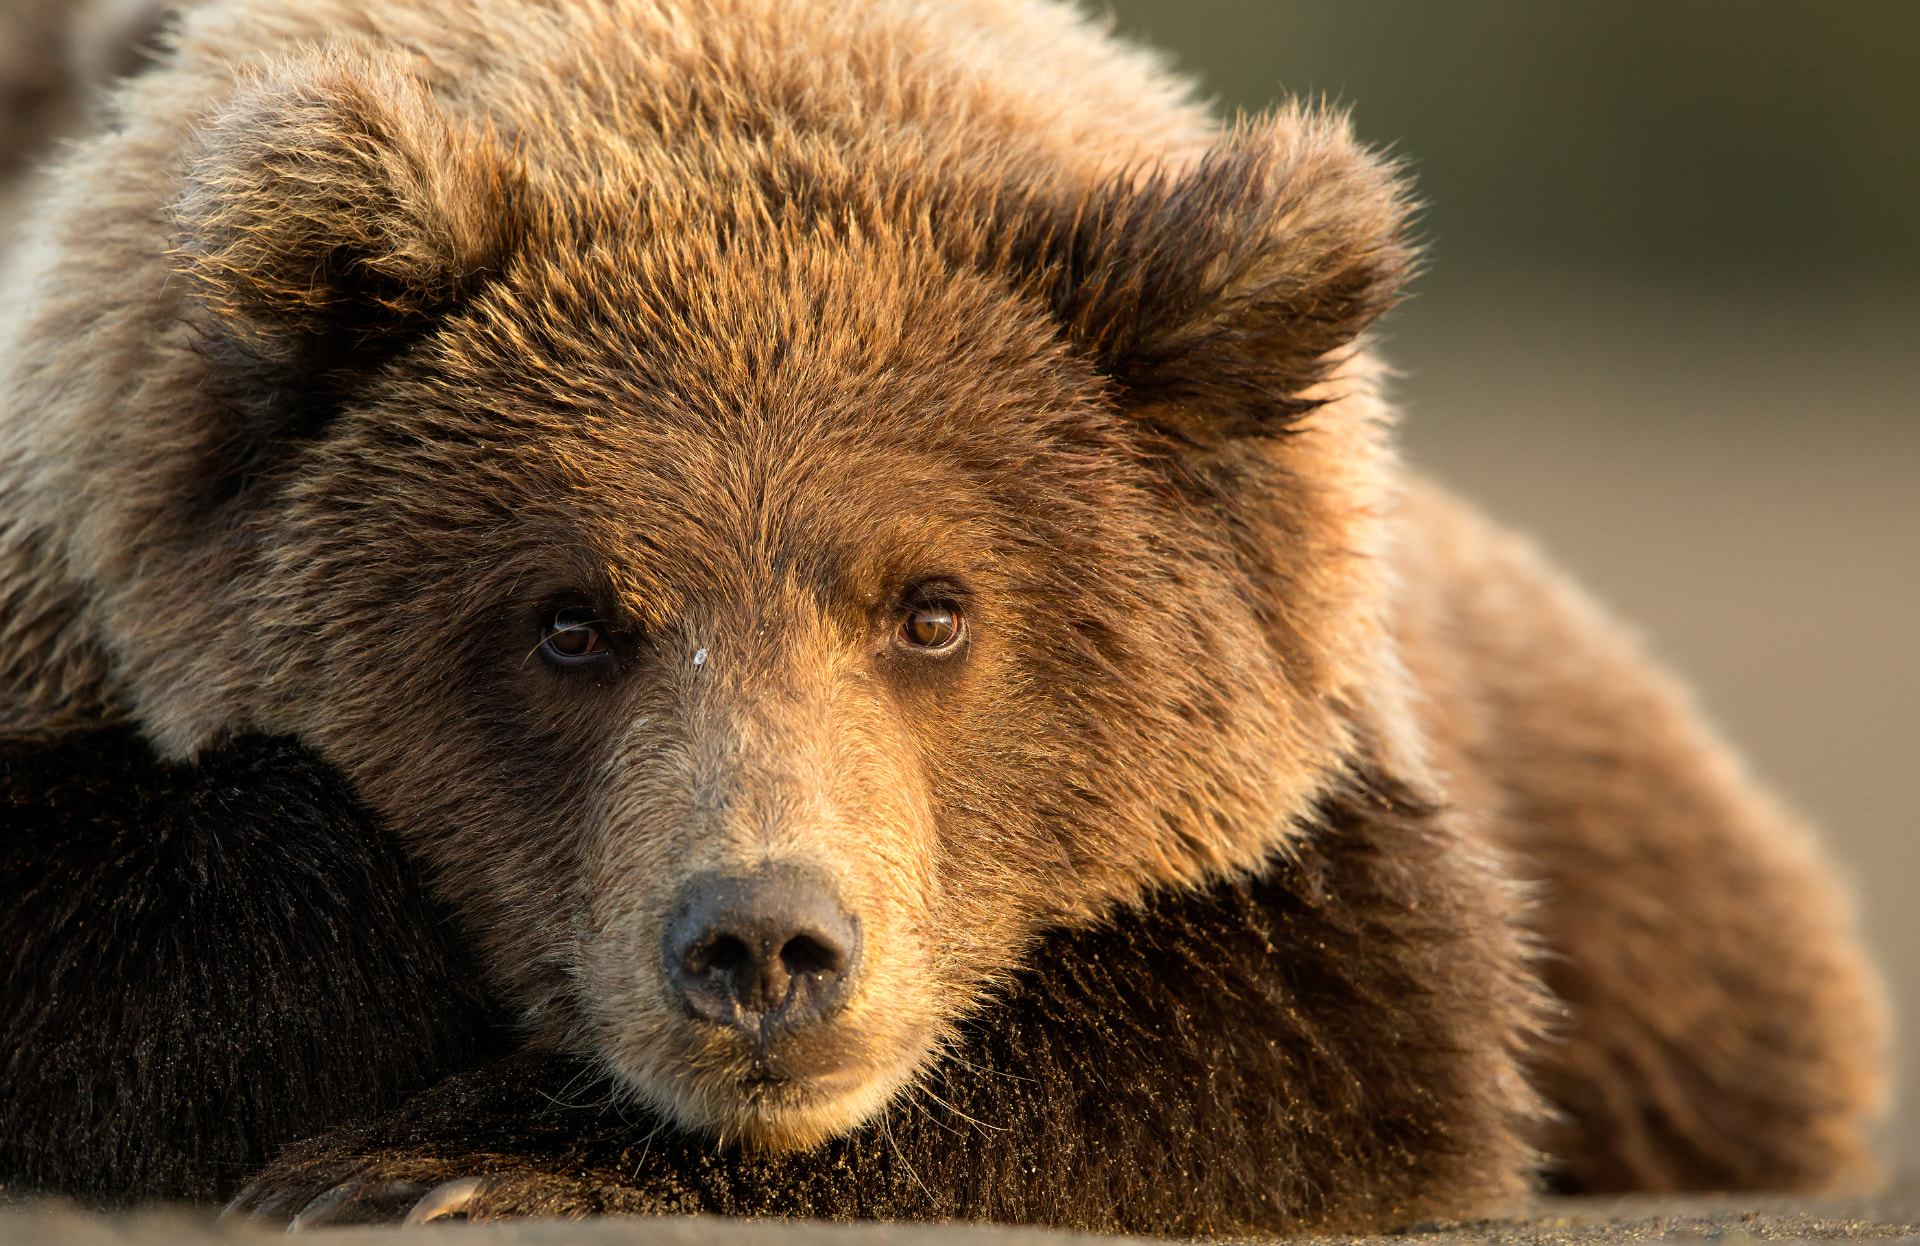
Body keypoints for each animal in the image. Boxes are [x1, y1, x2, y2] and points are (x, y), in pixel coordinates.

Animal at [0, 0, 1888, 1233]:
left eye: (930, 608)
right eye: (569, 621)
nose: (763, 945)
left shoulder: (1310, 802)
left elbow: (1326, 1031)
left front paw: (440, 1157)